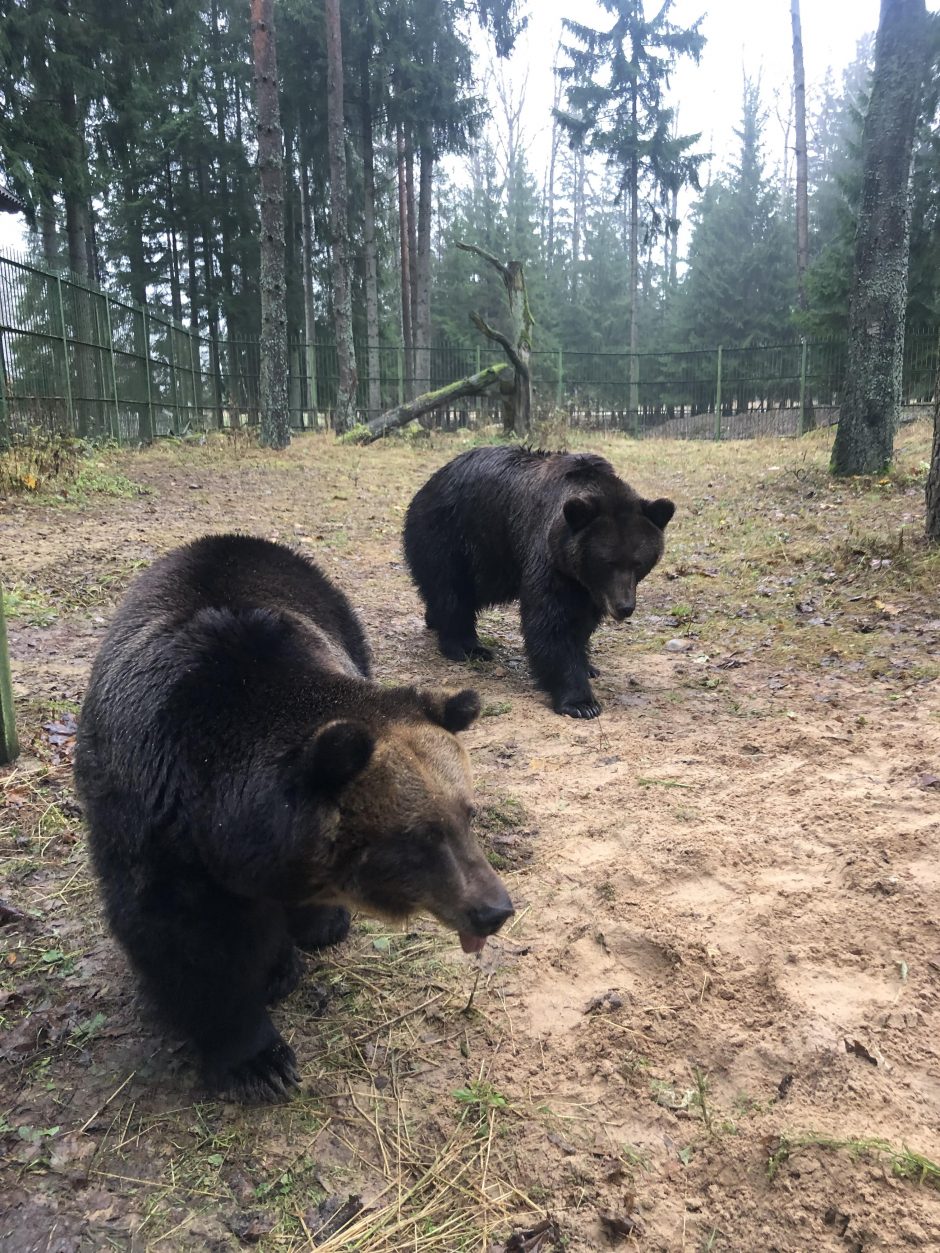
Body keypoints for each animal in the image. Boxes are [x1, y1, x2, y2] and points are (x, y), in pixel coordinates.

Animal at [73, 533, 516, 1102]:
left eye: (468, 815)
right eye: (419, 836)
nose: (493, 910)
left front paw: (308, 935)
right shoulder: (155, 826)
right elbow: (191, 943)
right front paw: (257, 1060)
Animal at [406, 446, 676, 721]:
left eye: (639, 563)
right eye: (607, 562)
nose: (624, 607)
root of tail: (429, 483)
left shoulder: (587, 587)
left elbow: (582, 622)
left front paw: (588, 666)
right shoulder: (548, 558)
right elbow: (551, 622)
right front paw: (581, 701)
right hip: (454, 536)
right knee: (452, 591)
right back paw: (466, 646)